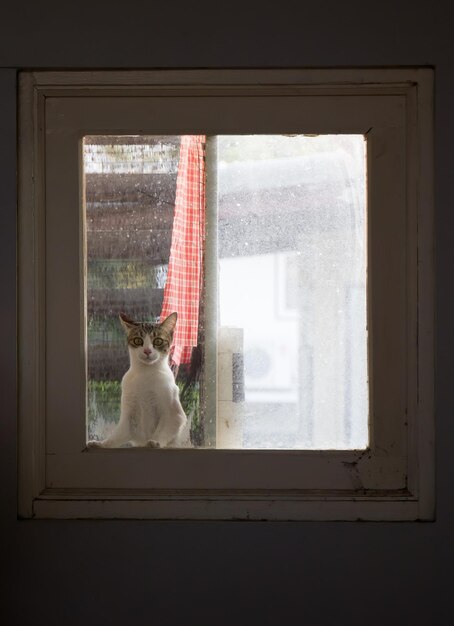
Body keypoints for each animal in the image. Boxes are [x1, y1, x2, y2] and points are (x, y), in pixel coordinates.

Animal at [88, 310, 189, 446]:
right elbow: (116, 436)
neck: (145, 374)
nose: (147, 351)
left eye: (158, 341)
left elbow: (162, 432)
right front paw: (101, 444)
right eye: (137, 340)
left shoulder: (175, 416)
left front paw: (154, 442)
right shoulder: (128, 417)